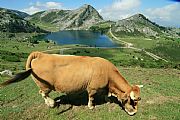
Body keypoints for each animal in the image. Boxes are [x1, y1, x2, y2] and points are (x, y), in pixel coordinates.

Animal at [0, 51, 143, 115]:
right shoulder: (92, 88)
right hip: (45, 85)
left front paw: (107, 98)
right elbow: (91, 97)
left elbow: (105, 93)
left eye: (138, 99)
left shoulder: (104, 87)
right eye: (131, 100)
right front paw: (91, 106)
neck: (108, 74)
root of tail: (41, 54)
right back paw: (51, 104)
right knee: (43, 93)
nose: (134, 112)